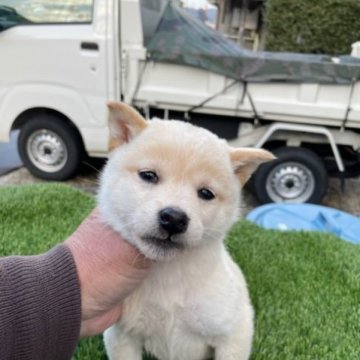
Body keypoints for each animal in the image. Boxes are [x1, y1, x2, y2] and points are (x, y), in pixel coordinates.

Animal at [98, 102, 272, 360]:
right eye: (148, 175)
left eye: (206, 193)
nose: (173, 219)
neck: (168, 277)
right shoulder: (122, 335)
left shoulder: (234, 332)